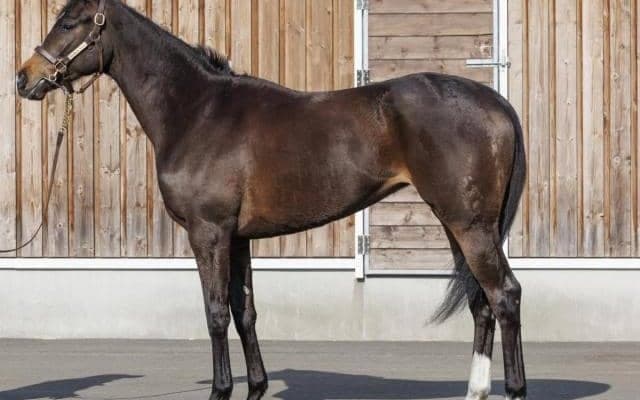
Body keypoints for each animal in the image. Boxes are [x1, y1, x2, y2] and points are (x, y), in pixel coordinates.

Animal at [16, 1, 527, 399]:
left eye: (70, 23)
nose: (24, 78)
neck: (198, 112)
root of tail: (495, 103)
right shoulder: (238, 238)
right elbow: (245, 313)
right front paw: (255, 386)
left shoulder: (208, 233)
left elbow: (216, 312)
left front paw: (221, 389)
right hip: (457, 223)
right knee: (482, 303)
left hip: (470, 226)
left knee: (504, 296)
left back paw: (516, 387)